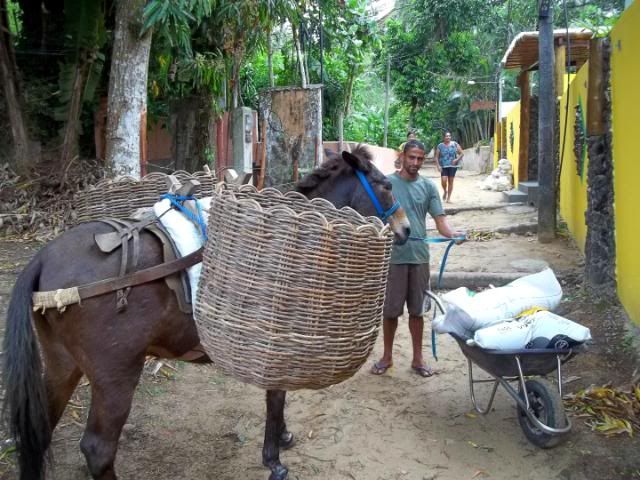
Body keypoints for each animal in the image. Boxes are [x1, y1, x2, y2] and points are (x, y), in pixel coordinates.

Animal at [1, 146, 410, 480]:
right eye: (384, 185)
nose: (406, 228)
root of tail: (42, 258)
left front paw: (281, 438)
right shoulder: (274, 342)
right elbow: (275, 397)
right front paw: (274, 456)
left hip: (62, 364)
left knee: (40, 431)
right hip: (115, 375)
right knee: (98, 450)